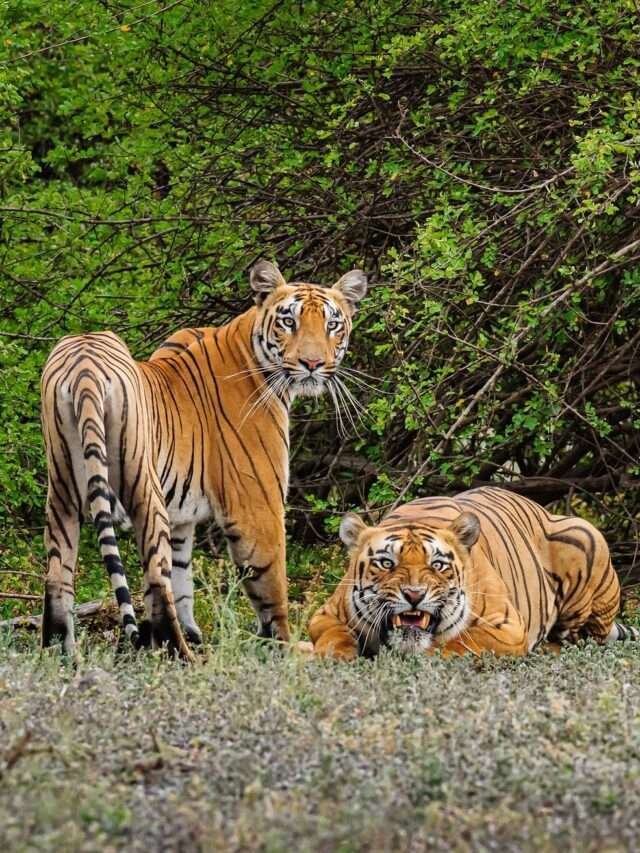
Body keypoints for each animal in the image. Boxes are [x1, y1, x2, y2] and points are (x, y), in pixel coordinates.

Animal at [40, 260, 367, 658]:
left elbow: (184, 579)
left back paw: (60, 653)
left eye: (332, 324)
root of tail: (84, 364)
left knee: (58, 577)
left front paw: (195, 631)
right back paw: (181, 655)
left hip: (61, 491)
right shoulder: (257, 504)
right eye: (288, 321)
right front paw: (284, 647)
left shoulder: (182, 518)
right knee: (155, 581)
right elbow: (270, 582)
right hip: (143, 488)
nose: (312, 363)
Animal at [308, 486, 636, 660]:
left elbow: (460, 641)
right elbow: (333, 637)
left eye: (437, 565)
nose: (414, 595)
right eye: (387, 563)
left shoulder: (506, 627)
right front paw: (336, 655)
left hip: (585, 534)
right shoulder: (325, 615)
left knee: (582, 638)